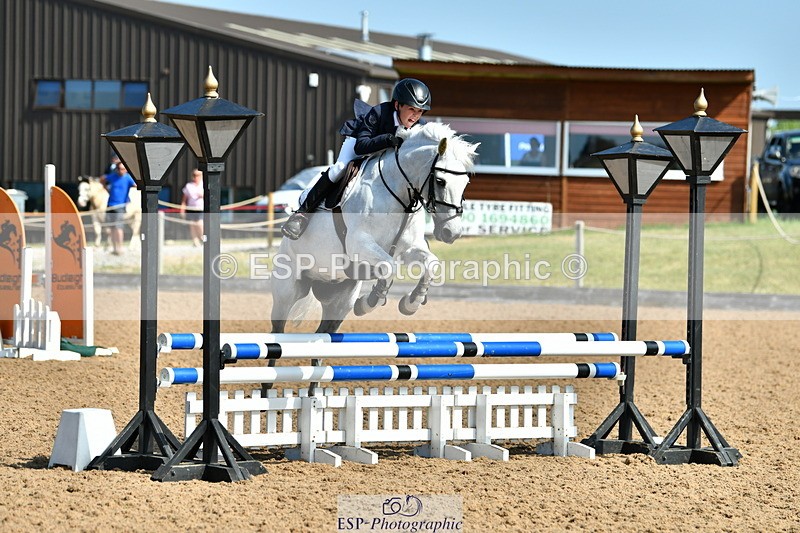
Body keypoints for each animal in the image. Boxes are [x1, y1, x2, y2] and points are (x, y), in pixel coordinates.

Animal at [270, 122, 478, 335]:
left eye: (466, 183)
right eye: (440, 181)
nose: (452, 232)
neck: (398, 194)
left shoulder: (409, 249)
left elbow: (431, 263)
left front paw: (412, 303)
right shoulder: (360, 245)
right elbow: (390, 266)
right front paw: (368, 303)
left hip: (340, 299)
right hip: (287, 290)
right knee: (278, 328)